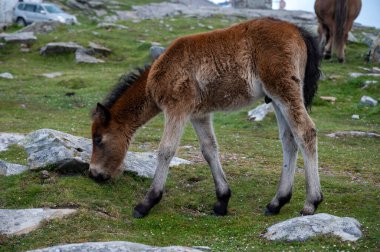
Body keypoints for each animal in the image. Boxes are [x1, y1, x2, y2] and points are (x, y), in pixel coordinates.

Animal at [90, 18, 324, 219]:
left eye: (98, 139)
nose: (94, 173)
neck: (160, 73)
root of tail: (297, 30)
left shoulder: (177, 108)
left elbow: (166, 150)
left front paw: (146, 203)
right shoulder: (199, 114)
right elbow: (209, 149)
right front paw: (222, 201)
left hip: (283, 90)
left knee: (305, 132)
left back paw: (311, 202)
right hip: (275, 98)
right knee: (289, 140)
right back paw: (277, 203)